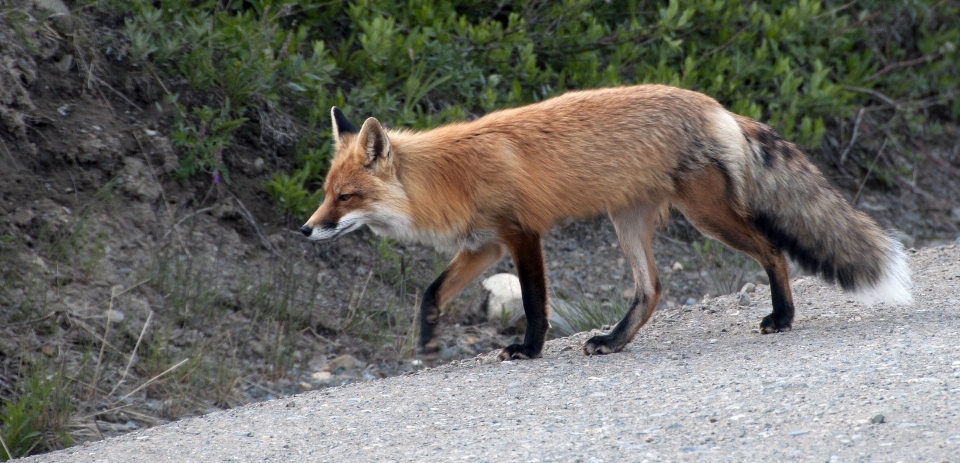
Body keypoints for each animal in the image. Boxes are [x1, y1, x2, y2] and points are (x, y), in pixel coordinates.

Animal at [302, 84, 916, 362]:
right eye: (325, 194)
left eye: (346, 197)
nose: (305, 230)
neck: (450, 176)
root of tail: (715, 104)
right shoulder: (483, 246)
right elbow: (430, 293)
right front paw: (429, 342)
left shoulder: (521, 234)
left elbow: (534, 305)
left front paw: (529, 350)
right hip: (629, 223)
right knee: (652, 289)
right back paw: (615, 341)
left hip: (706, 217)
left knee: (773, 250)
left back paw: (783, 317)